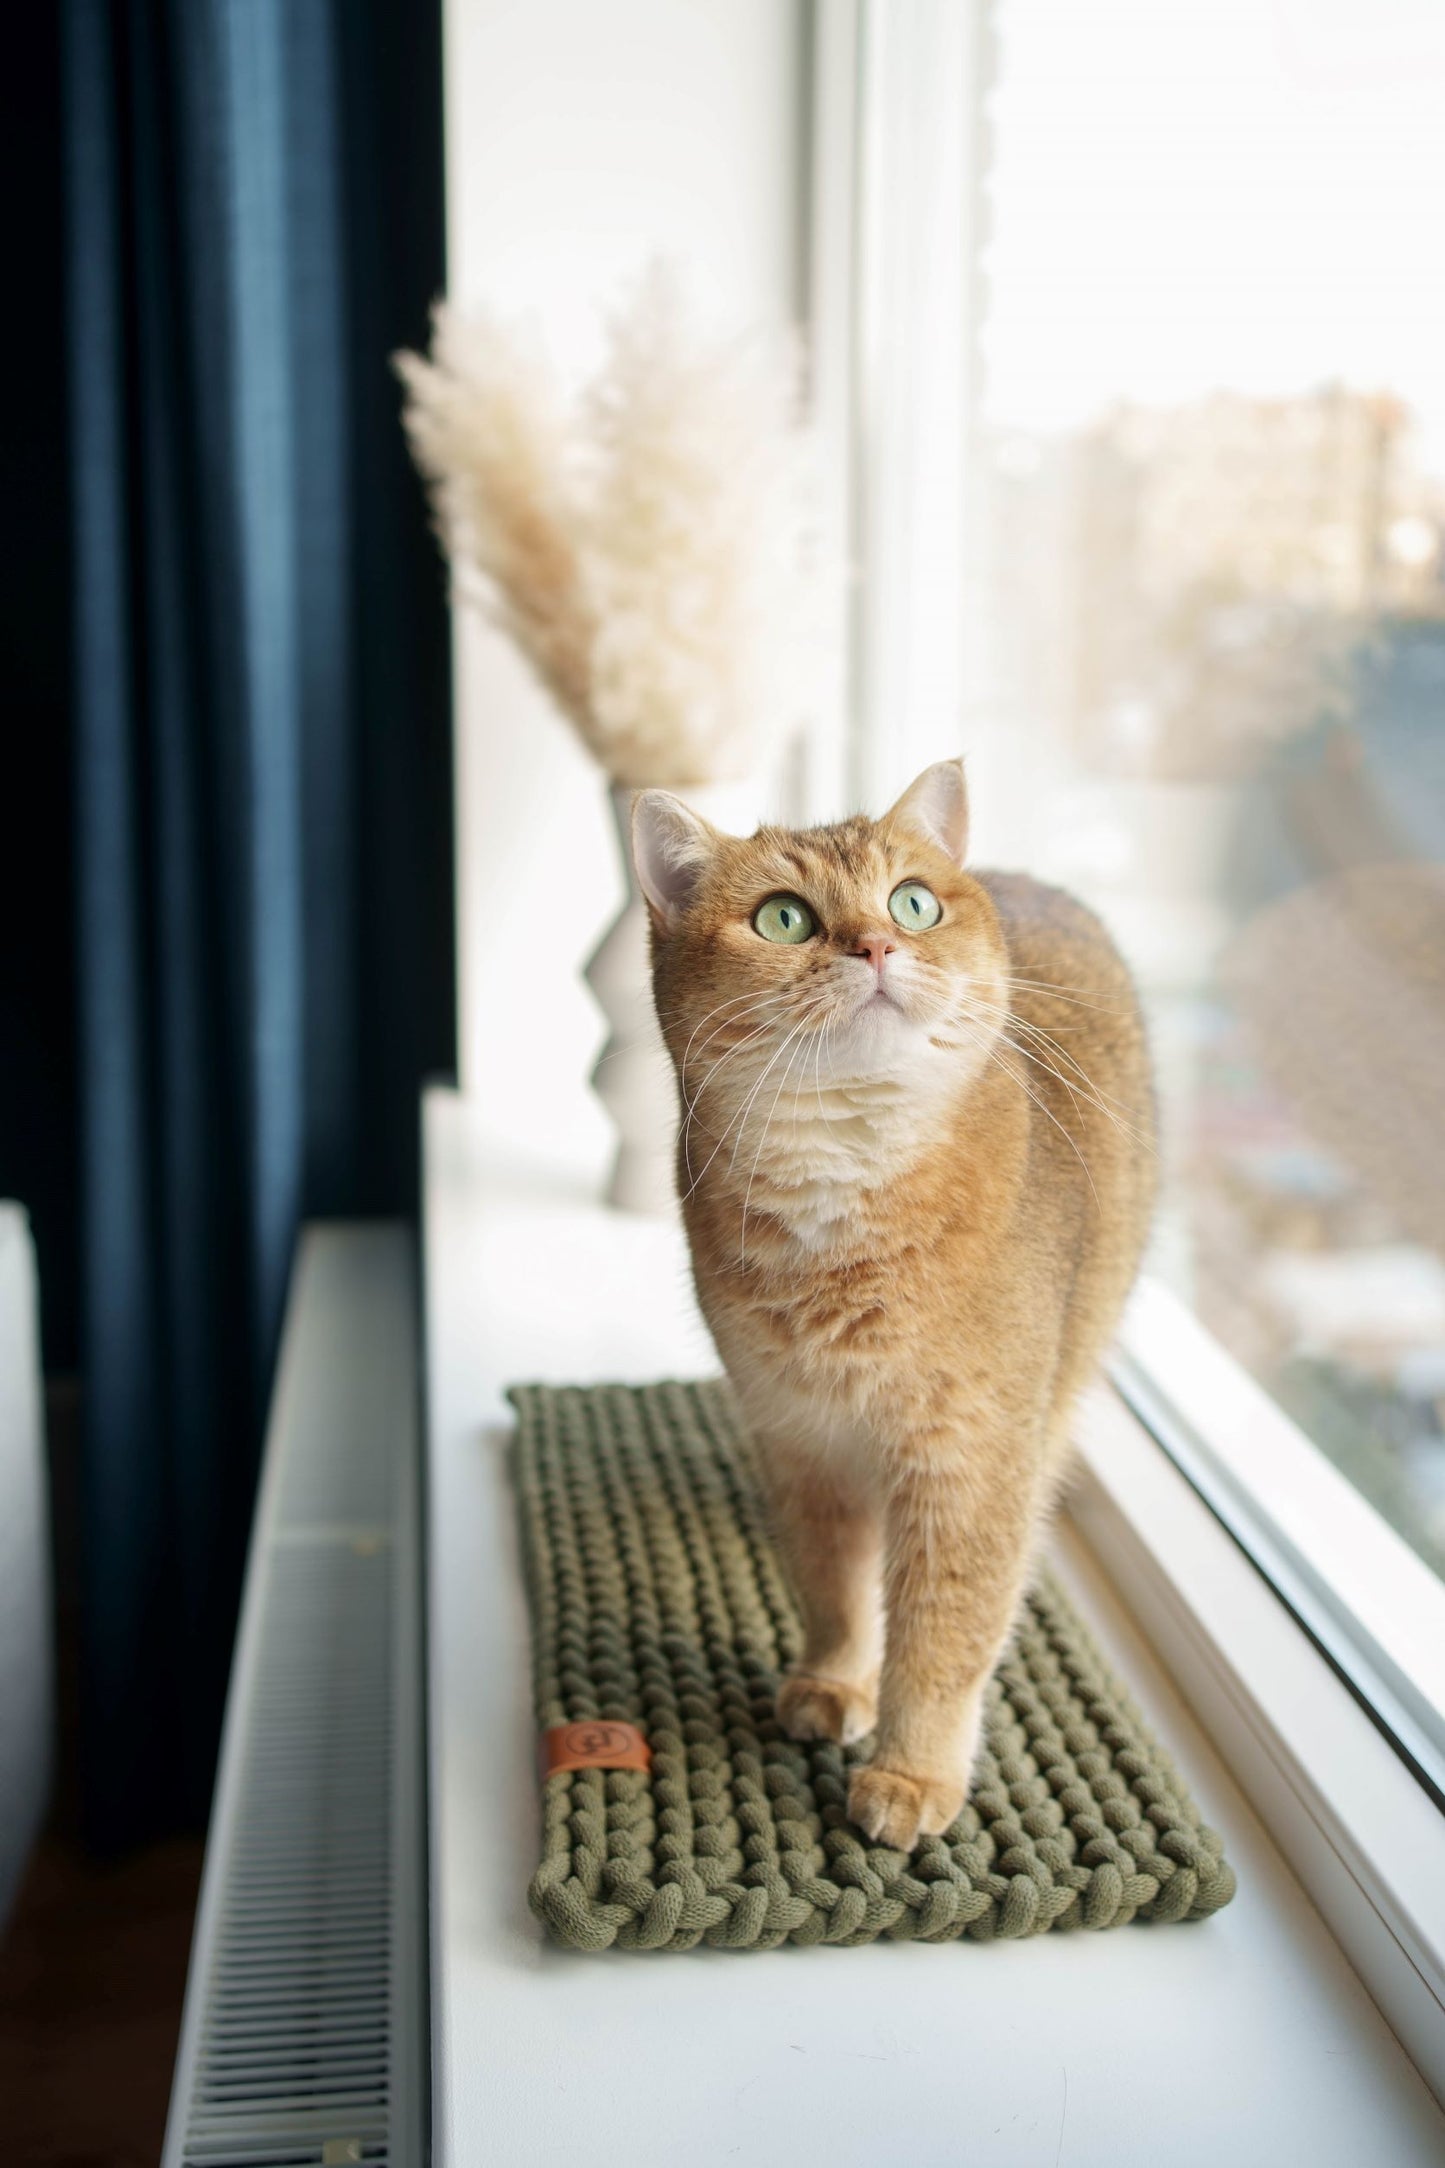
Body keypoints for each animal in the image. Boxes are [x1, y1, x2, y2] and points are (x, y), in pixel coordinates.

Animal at [632, 763, 1152, 1847]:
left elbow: (944, 1635)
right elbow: (834, 1589)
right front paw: (835, 1680)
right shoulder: (801, 1439)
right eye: (783, 918)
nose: (874, 944)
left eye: (912, 903)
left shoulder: (969, 1465)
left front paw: (912, 1771)